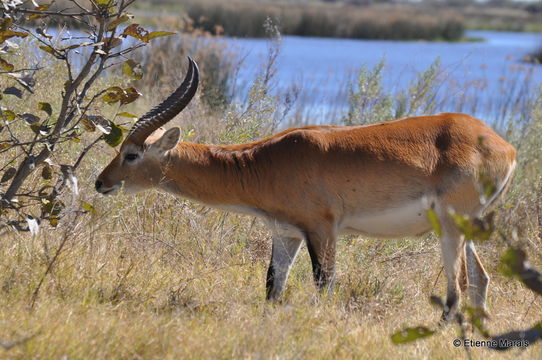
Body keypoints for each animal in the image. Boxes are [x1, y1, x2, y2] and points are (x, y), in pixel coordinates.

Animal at [96, 59, 520, 320]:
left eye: (131, 154)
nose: (101, 183)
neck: (264, 162)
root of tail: (503, 144)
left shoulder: (322, 228)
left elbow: (324, 282)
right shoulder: (286, 233)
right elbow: (273, 284)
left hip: (450, 227)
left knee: (457, 287)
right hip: (463, 229)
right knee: (480, 279)